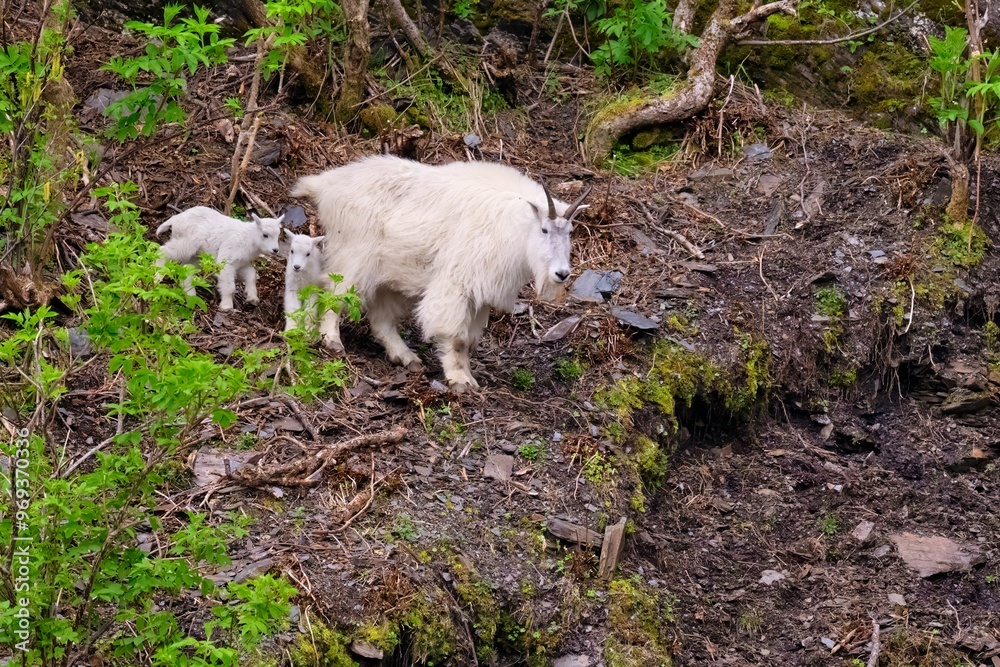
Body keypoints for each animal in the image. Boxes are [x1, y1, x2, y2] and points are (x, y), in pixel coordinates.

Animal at [291, 155, 590, 390]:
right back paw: (332, 341)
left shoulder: (480, 296)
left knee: (381, 318)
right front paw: (460, 381)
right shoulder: (457, 284)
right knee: (334, 293)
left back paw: (406, 357)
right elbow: (456, 337)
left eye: (570, 231)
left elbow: (468, 339)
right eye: (545, 230)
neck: (516, 228)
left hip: (391, 275)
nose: (562, 274)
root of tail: (328, 184)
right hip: (355, 256)